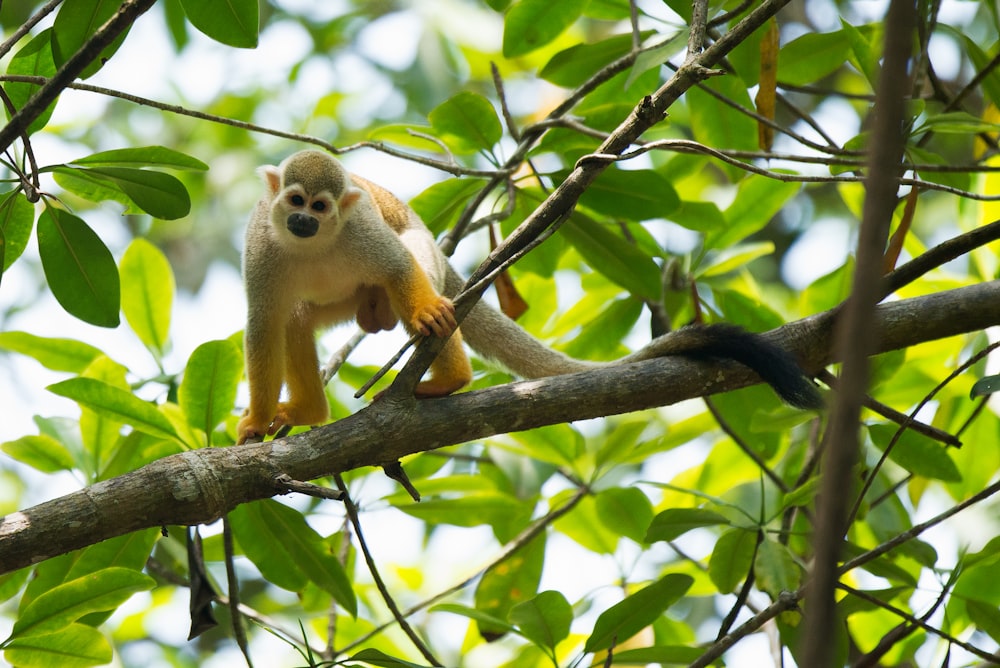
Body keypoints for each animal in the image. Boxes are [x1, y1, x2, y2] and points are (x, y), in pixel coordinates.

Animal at [236, 149, 820, 446]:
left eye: (320, 205)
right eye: (295, 201)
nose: (304, 221)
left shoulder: (359, 232)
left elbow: (399, 267)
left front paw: (427, 316)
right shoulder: (260, 245)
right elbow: (264, 324)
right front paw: (257, 422)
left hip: (419, 256)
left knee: (414, 270)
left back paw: (448, 375)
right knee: (296, 317)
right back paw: (310, 409)